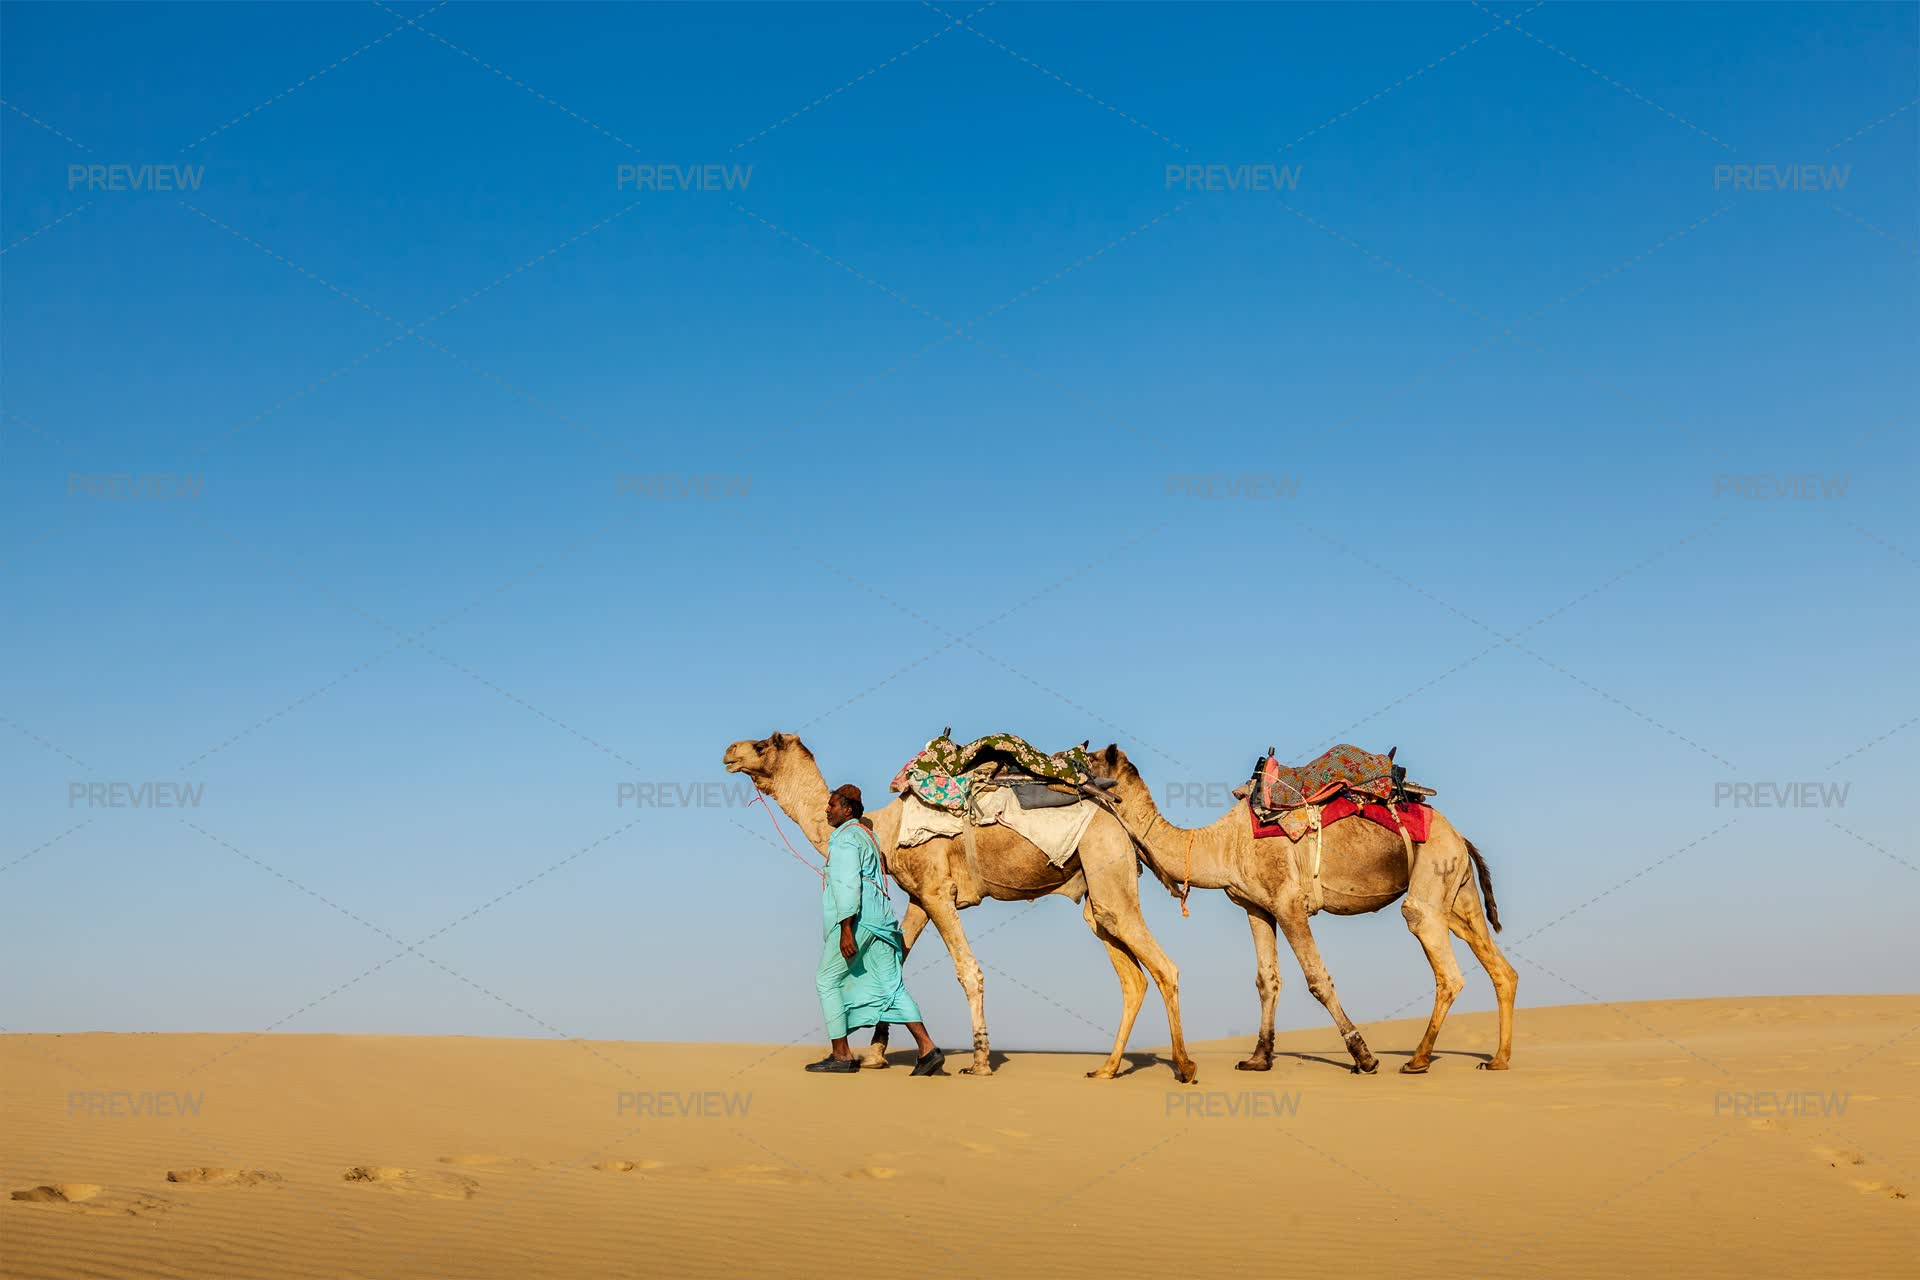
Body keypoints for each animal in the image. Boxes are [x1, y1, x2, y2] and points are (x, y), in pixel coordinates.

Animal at [723, 732, 1196, 1081]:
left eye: (763, 744)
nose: (730, 751)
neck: (885, 828)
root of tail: (1118, 818)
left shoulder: (938, 892)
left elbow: (968, 971)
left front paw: (979, 1062)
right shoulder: (918, 897)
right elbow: (897, 963)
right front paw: (877, 1056)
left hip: (1106, 864)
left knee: (1164, 966)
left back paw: (1185, 1066)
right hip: (1096, 894)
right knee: (1132, 976)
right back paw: (1107, 1069)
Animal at [1090, 744, 1517, 1074]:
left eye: (1087, 759)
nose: (1070, 764)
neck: (1222, 845)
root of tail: (1460, 836)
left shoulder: (1289, 904)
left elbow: (1317, 981)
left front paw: (1363, 1057)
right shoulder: (1256, 907)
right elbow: (1267, 980)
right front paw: (1258, 1059)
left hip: (1432, 875)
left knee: (1445, 966)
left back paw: (1418, 1060)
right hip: (1458, 894)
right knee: (1500, 968)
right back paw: (1497, 1060)